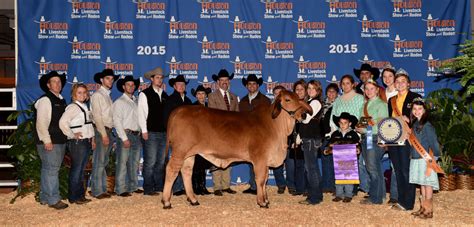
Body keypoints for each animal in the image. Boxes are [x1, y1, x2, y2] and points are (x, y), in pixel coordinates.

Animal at [161, 89, 312, 208]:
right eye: (287, 99)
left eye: (299, 98)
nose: (304, 115)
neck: (275, 125)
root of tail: (178, 110)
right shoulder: (260, 158)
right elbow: (260, 179)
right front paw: (262, 202)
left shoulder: (265, 160)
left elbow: (265, 180)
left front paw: (266, 199)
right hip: (179, 151)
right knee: (171, 170)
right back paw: (166, 202)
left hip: (189, 154)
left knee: (186, 171)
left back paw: (193, 200)